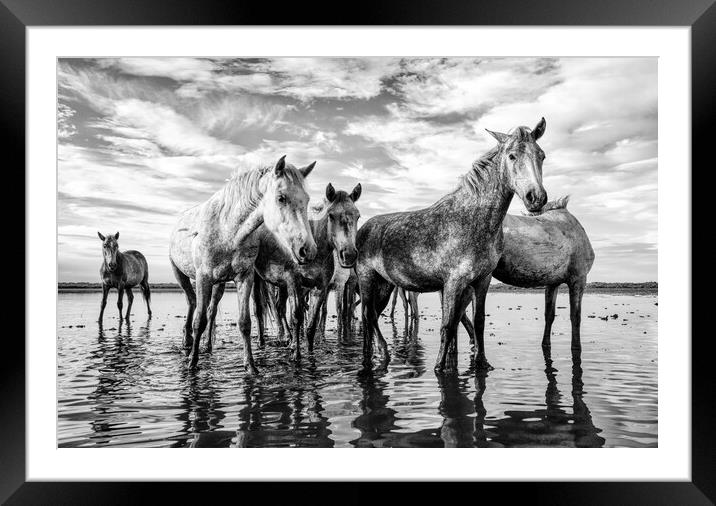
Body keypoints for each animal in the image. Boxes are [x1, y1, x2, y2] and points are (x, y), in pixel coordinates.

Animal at [171, 156, 316, 374]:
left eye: (306, 200)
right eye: (281, 198)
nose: (308, 250)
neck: (227, 230)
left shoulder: (244, 277)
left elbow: (244, 322)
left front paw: (251, 366)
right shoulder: (203, 278)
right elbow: (199, 321)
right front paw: (192, 363)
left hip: (220, 283)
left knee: (211, 309)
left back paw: (208, 345)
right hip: (181, 275)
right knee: (192, 303)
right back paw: (187, 341)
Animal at [252, 182, 364, 356]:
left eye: (357, 216)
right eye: (331, 215)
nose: (349, 254)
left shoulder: (320, 287)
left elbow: (312, 323)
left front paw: (309, 352)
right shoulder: (294, 282)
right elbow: (297, 317)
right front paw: (297, 354)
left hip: (282, 285)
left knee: (279, 307)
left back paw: (288, 339)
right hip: (258, 278)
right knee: (259, 309)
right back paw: (262, 342)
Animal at [356, 118, 548, 372]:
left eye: (541, 155)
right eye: (512, 156)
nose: (536, 198)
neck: (473, 219)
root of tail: (362, 230)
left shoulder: (482, 281)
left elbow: (478, 323)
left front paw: (482, 363)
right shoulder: (453, 283)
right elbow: (448, 326)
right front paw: (439, 367)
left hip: (385, 284)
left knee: (373, 316)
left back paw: (379, 352)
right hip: (367, 280)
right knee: (367, 315)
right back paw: (379, 354)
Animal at [470, 197, 592, 352]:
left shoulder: (553, 282)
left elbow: (549, 315)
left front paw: (546, 344)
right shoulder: (579, 279)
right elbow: (575, 316)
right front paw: (576, 348)